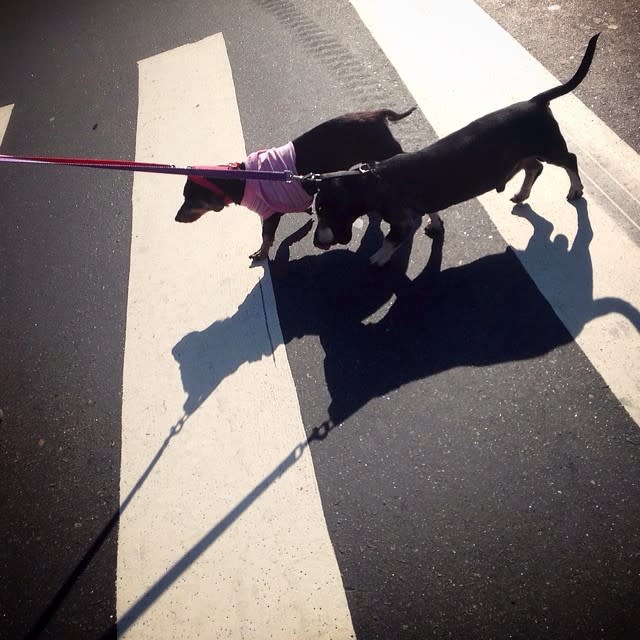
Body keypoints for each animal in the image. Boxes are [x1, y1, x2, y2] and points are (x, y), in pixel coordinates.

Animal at [176, 107, 416, 260]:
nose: (176, 219)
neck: (244, 178)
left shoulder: (270, 213)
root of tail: (379, 114)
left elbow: (266, 236)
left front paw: (262, 254)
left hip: (388, 152)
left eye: (191, 200)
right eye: (185, 198)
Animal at [316, 35, 600, 264]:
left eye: (322, 211)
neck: (374, 179)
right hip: (524, 154)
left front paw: (378, 257)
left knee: (570, 161)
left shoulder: (403, 221)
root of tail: (536, 101)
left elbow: (391, 239)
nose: (317, 243)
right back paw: (522, 194)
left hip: (549, 146)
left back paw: (575, 190)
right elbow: (432, 212)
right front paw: (436, 225)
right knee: (535, 169)